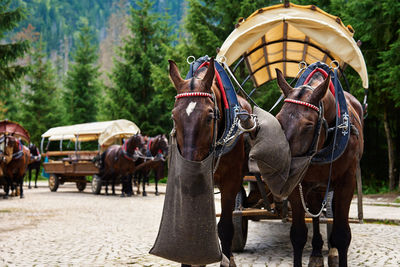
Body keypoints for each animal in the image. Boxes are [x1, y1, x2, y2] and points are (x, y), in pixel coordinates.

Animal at [276, 69, 364, 267]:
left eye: (308, 125)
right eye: (278, 120)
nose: (283, 170)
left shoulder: (347, 182)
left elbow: (342, 235)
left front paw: (336, 249)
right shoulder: (297, 185)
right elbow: (298, 235)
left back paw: (331, 251)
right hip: (315, 188)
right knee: (316, 213)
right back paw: (316, 251)